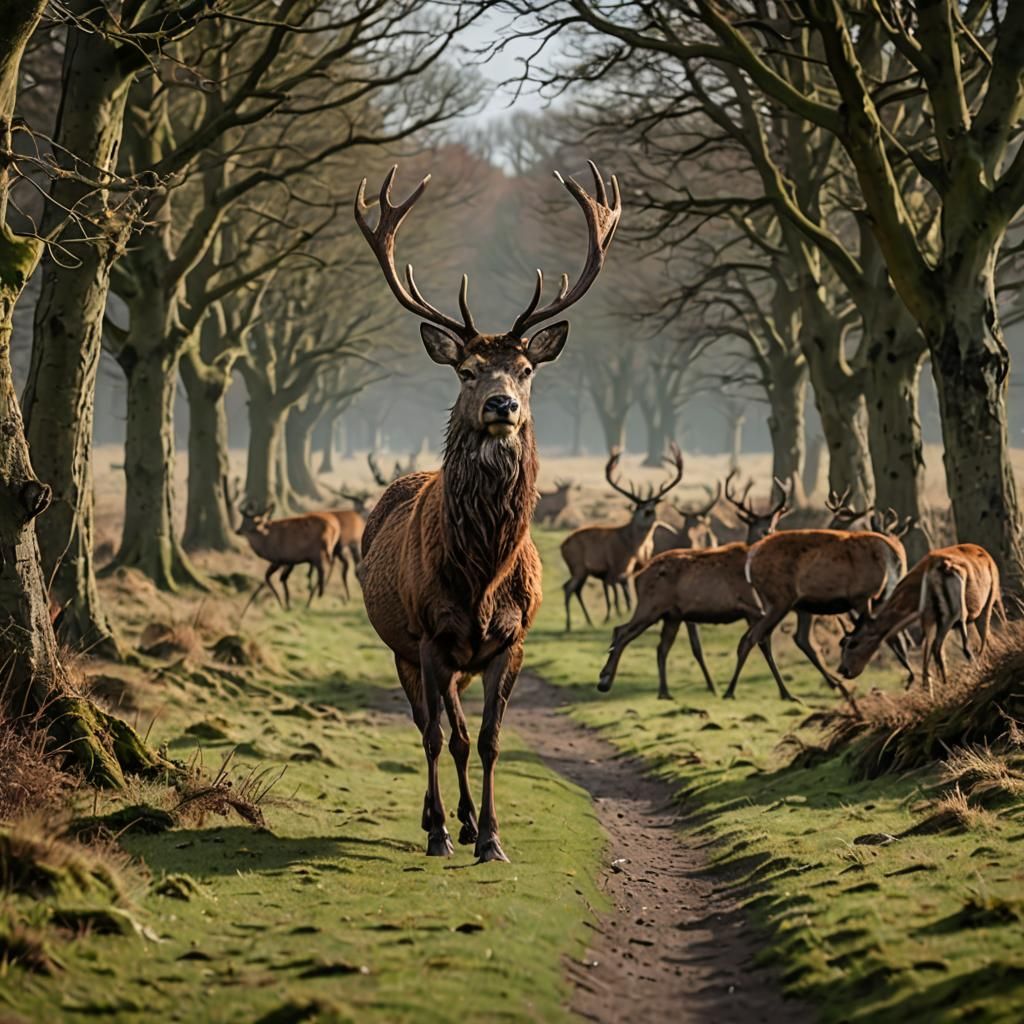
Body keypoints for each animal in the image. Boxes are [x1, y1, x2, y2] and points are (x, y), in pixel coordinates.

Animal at [354, 160, 620, 862]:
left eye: (526, 369)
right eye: (468, 371)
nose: (504, 405)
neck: (479, 578)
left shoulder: (511, 639)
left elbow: (492, 739)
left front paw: (493, 837)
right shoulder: (428, 638)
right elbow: (439, 736)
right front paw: (443, 832)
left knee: (460, 728)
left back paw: (470, 821)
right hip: (402, 647)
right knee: (429, 724)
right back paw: (438, 819)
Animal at [560, 445, 684, 630]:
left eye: (653, 504)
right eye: (638, 506)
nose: (648, 511)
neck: (636, 546)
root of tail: (563, 546)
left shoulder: (638, 566)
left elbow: (626, 593)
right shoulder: (618, 565)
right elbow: (619, 594)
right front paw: (616, 615)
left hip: (581, 570)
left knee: (575, 589)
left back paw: (588, 620)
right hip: (578, 565)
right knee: (569, 588)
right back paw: (569, 624)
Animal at [722, 528, 908, 709]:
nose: (846, 671)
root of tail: (750, 561)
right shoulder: (862, 597)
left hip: (774, 603)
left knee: (761, 638)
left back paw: (786, 694)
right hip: (780, 600)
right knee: (753, 638)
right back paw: (731, 691)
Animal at [839, 544, 1004, 694]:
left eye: (852, 643)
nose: (843, 670)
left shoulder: (930, 621)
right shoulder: (930, 621)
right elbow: (928, 660)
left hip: (975, 608)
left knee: (974, 642)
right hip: (962, 613)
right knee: (960, 646)